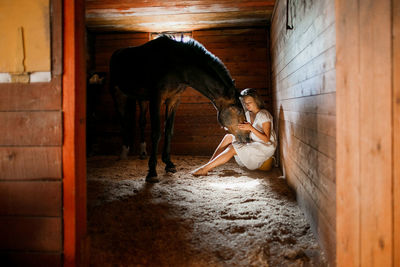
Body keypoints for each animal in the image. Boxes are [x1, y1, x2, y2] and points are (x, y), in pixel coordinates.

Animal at [108, 34, 248, 183]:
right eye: (238, 110)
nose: (247, 137)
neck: (177, 65)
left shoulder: (173, 100)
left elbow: (169, 130)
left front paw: (168, 164)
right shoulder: (156, 98)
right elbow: (156, 133)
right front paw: (152, 172)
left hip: (141, 99)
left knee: (141, 122)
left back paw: (142, 152)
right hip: (118, 94)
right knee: (123, 122)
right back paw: (124, 152)